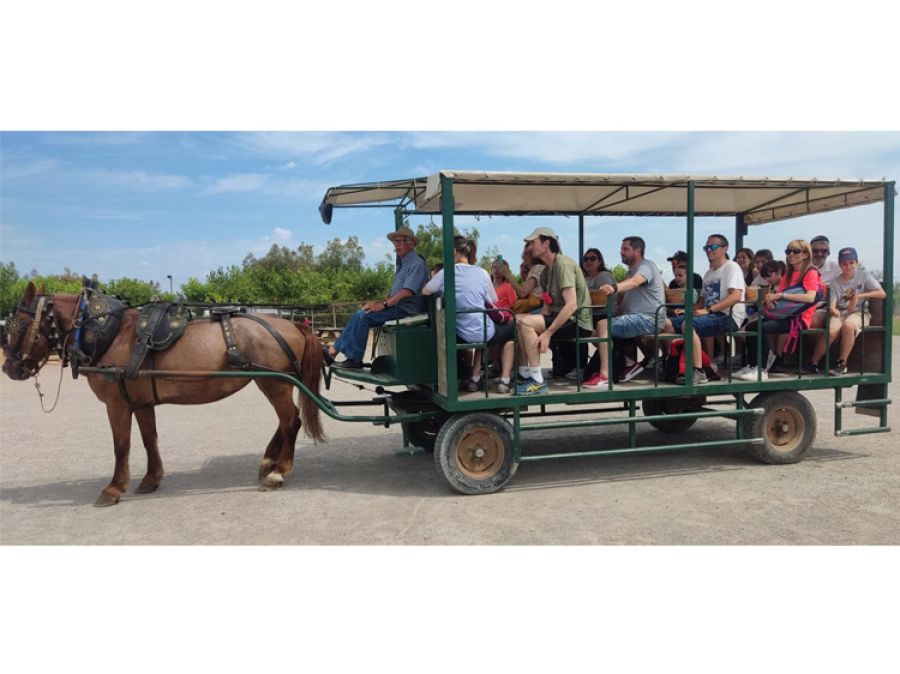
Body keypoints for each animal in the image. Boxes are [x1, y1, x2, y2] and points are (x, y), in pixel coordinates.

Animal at [2, 280, 326, 506]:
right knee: (285, 421)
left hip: (274, 383)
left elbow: (121, 445)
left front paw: (113, 488)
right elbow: (149, 439)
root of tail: (295, 325)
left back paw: (278, 471)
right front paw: (150, 479)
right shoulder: (141, 402)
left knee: (291, 421)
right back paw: (269, 461)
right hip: (271, 381)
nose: (9, 368)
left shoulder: (117, 403)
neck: (111, 334)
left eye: (17, 325)